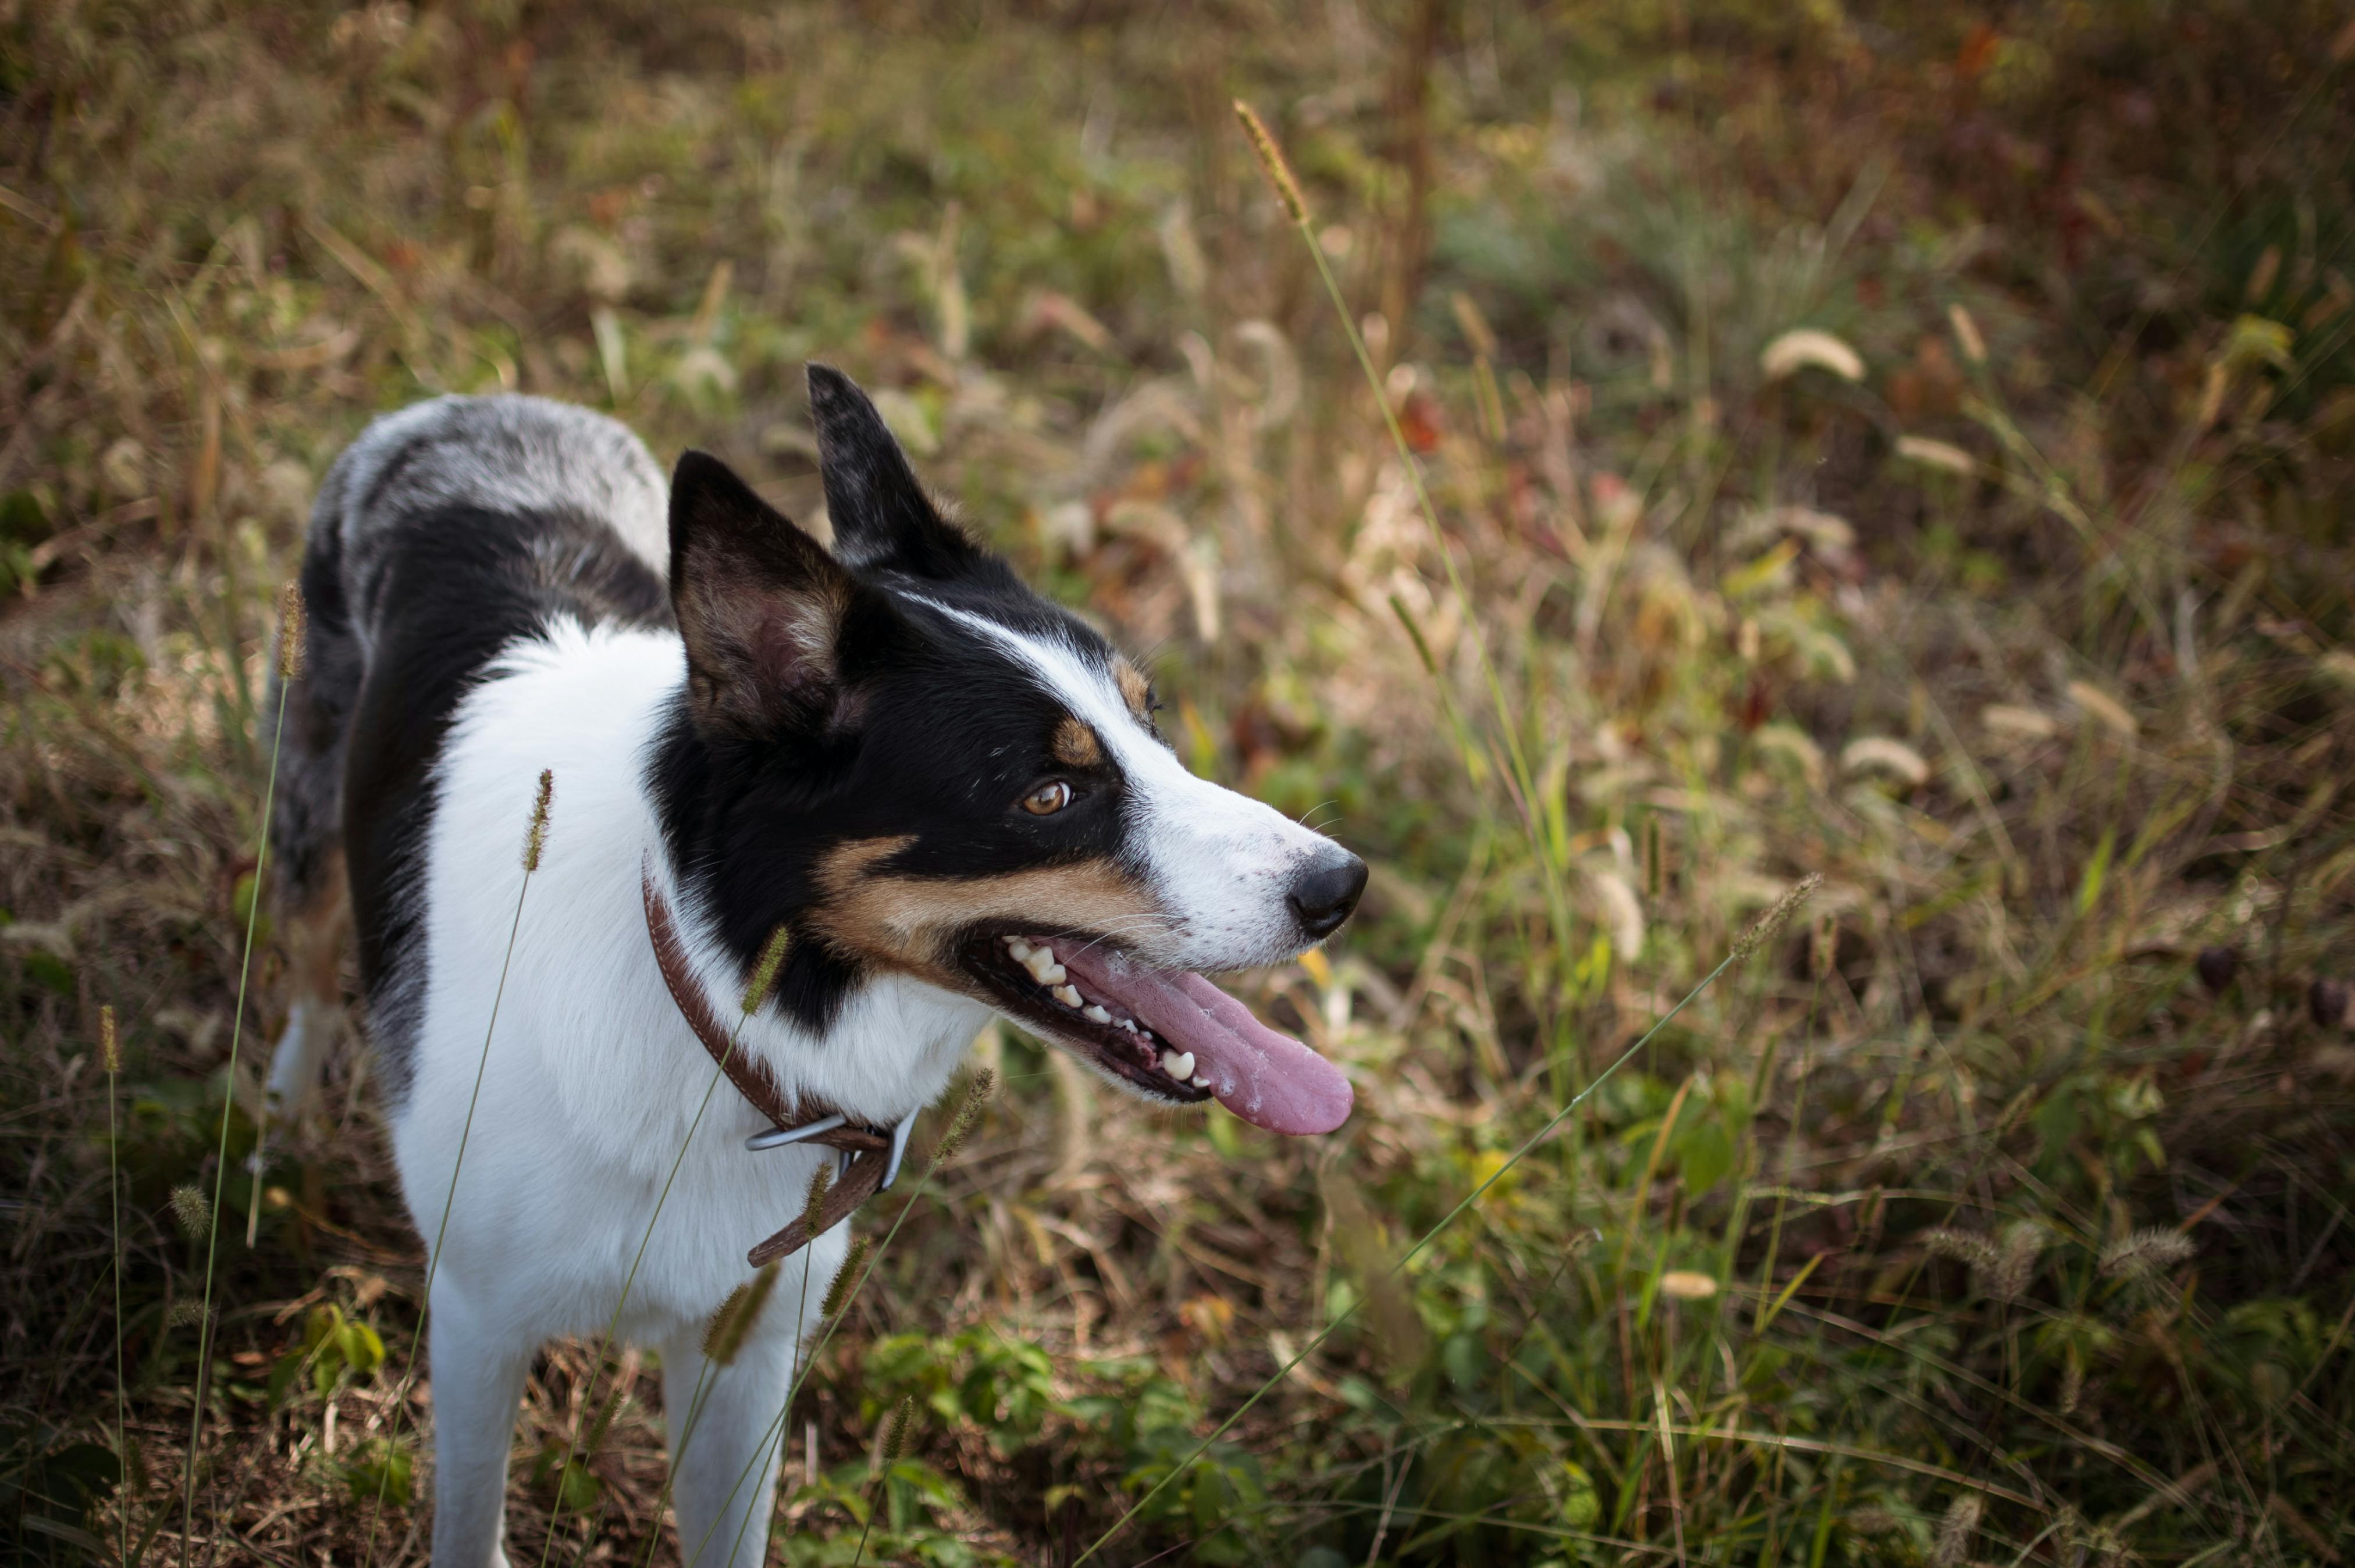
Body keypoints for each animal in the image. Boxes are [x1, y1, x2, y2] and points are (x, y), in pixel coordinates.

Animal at [262, 369, 1365, 1563]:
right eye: (1050, 795)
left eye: (1150, 720)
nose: (1341, 885)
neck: (706, 995)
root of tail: (476, 404)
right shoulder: (477, 1321)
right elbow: (470, 1522)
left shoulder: (744, 1350)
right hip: (309, 818)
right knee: (308, 973)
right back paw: (275, 1133)